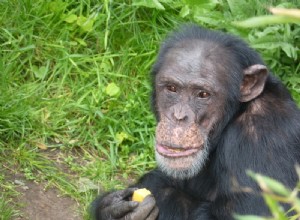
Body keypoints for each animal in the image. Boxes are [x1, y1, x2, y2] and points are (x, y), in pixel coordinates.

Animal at [90, 24, 300, 220]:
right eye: (171, 88)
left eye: (203, 94)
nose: (179, 117)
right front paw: (111, 207)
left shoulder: (263, 139)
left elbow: (253, 213)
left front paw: (154, 189)